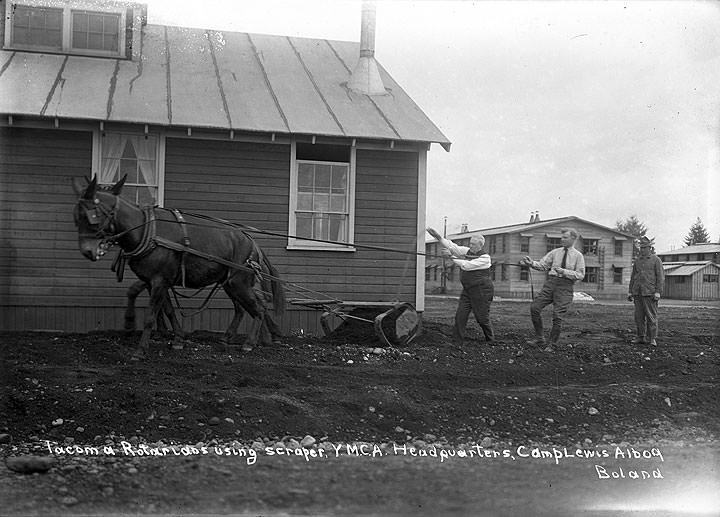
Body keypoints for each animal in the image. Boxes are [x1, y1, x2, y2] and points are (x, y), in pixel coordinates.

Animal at [71, 173, 284, 358]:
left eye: (91, 216)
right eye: (76, 217)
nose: (87, 251)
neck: (147, 232)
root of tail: (251, 241)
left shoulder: (159, 280)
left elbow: (150, 315)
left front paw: (140, 350)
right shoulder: (155, 281)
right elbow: (165, 308)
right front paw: (176, 338)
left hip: (239, 282)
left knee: (259, 309)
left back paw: (250, 342)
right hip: (229, 283)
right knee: (242, 308)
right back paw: (231, 337)